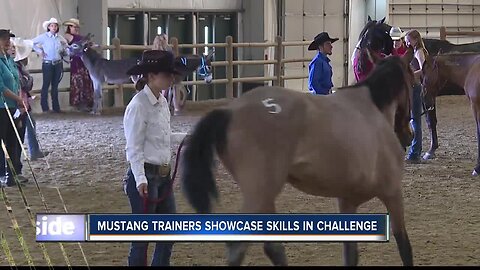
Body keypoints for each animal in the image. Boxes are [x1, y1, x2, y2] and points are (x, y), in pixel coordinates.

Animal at [66, 33, 213, 114]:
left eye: (75, 46)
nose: (66, 50)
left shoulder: (97, 80)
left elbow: (97, 96)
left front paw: (95, 111)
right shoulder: (97, 81)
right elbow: (98, 96)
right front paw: (96, 110)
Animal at [180, 48, 416, 266]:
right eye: (412, 82)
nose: (409, 135)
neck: (374, 110)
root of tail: (228, 112)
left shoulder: (347, 201)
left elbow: (351, 254)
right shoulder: (393, 193)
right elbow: (404, 246)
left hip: (265, 196)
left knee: (273, 248)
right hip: (258, 194)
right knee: (238, 247)